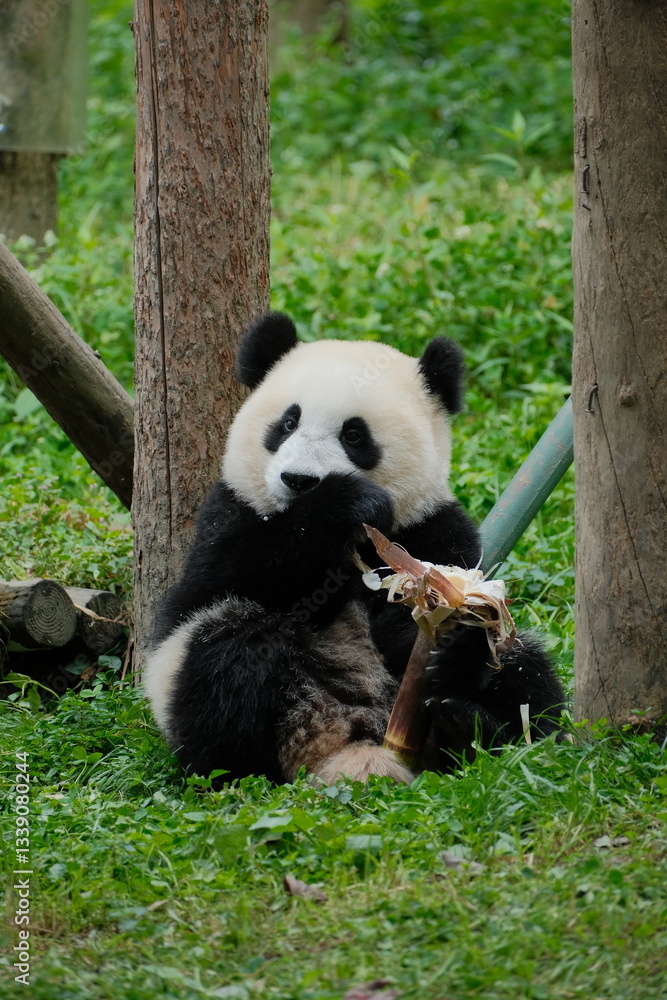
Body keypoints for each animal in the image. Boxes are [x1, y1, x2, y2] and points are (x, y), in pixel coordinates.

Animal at [143, 312, 565, 785]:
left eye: (354, 434)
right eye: (288, 423)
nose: (299, 480)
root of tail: (342, 741)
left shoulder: (431, 527)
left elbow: (429, 611)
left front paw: (449, 646)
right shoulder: (231, 510)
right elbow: (230, 576)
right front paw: (342, 502)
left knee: (525, 672)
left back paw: (469, 725)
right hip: (186, 678)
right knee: (229, 648)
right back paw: (237, 771)